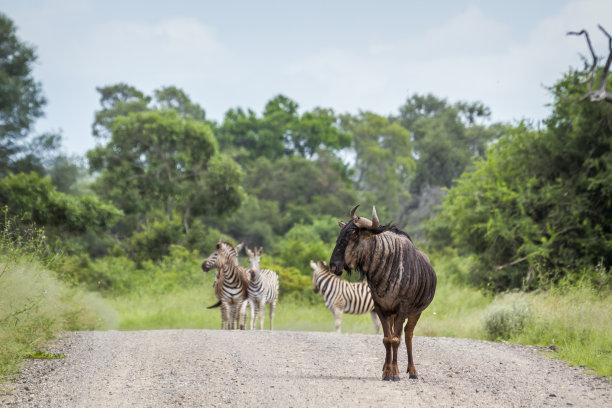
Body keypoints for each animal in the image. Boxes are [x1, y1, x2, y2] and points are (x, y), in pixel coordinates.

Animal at [330, 206, 436, 380]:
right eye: (341, 233)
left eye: (353, 234)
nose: (333, 266)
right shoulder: (381, 309)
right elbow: (387, 339)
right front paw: (388, 372)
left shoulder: (402, 309)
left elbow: (396, 339)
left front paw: (395, 373)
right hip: (392, 314)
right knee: (393, 334)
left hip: (415, 313)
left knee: (408, 335)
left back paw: (412, 371)